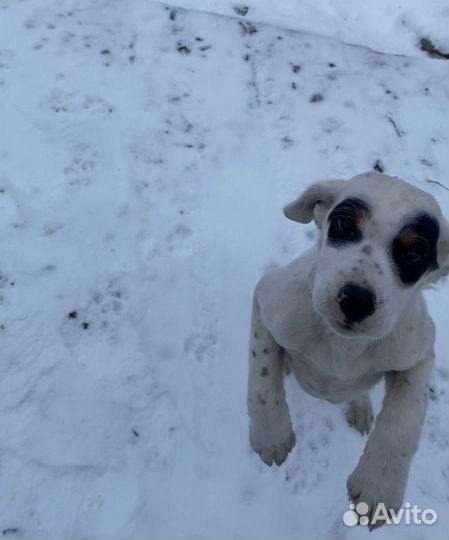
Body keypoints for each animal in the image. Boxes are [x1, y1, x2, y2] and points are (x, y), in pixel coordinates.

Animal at [247, 172, 446, 528]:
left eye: (414, 255)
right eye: (343, 225)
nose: (355, 300)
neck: (341, 345)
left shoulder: (420, 352)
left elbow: (406, 416)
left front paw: (379, 483)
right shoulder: (266, 302)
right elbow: (262, 381)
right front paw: (272, 435)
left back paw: (361, 407)